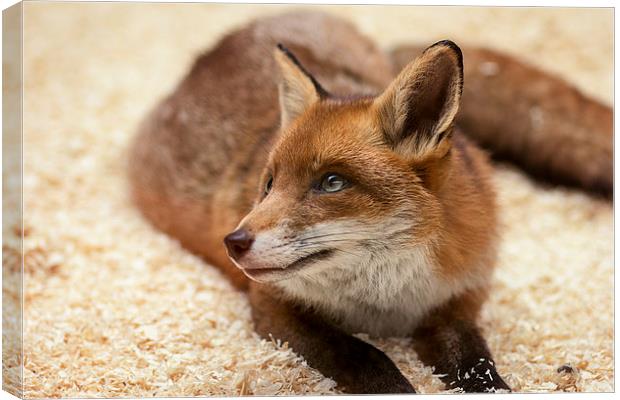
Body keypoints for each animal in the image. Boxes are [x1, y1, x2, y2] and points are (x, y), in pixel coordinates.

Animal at [128, 10, 612, 392]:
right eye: (268, 184)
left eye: (332, 182)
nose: (234, 242)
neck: (387, 300)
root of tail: (220, 45)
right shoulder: (273, 306)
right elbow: (366, 359)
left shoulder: (455, 305)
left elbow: (479, 370)